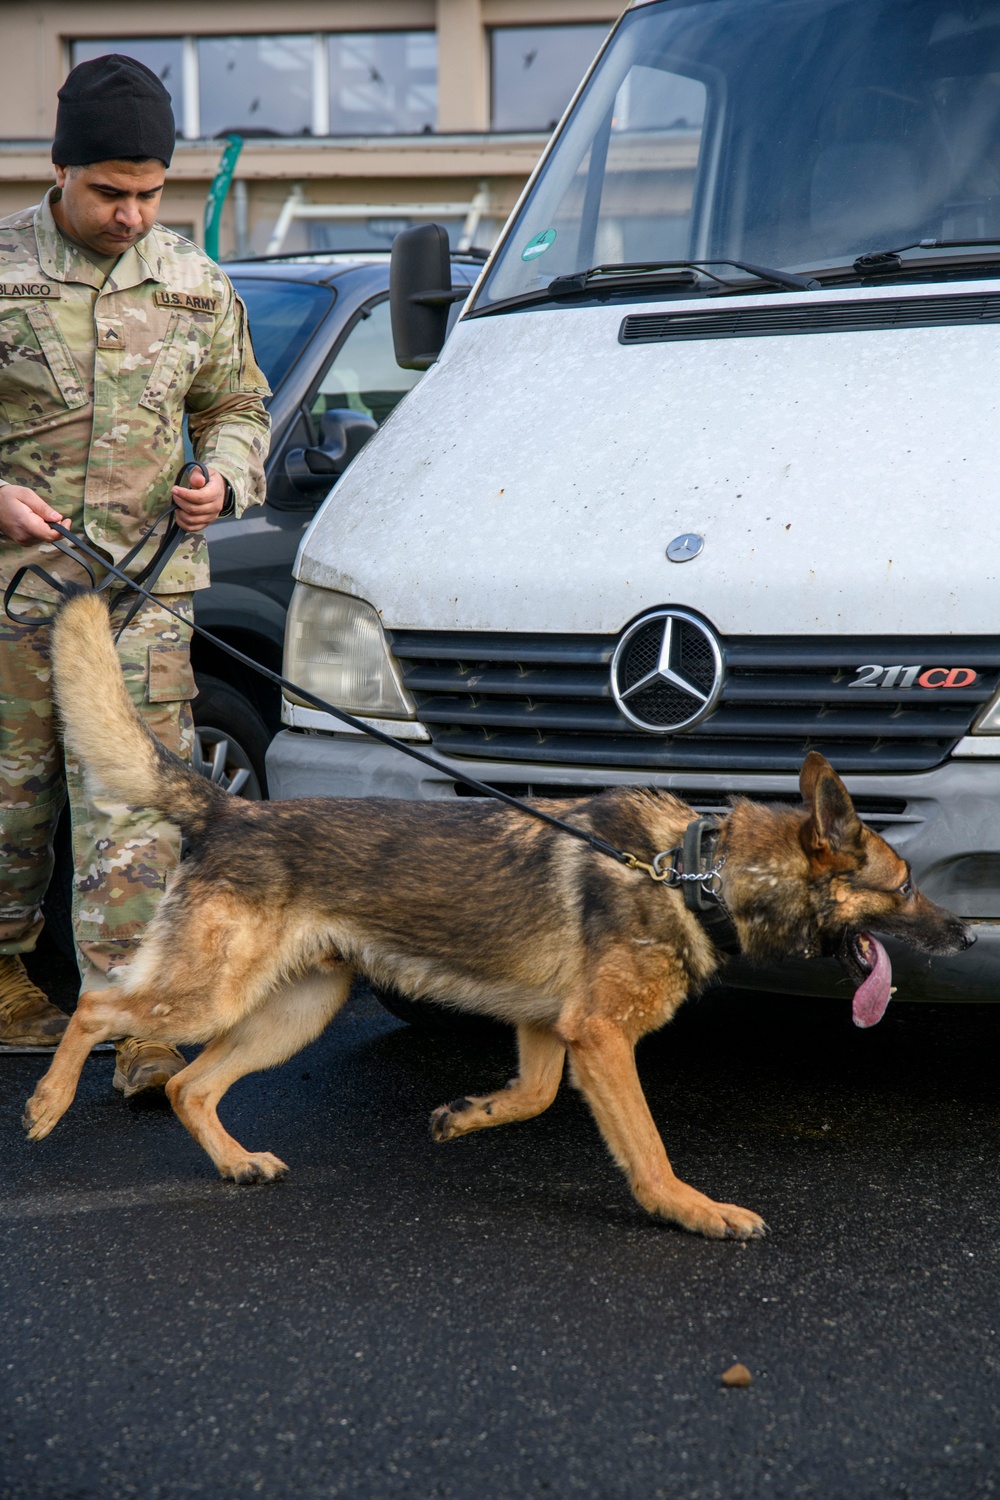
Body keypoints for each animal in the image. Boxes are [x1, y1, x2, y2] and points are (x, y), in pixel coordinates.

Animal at [25, 591, 977, 1236]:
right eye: (902, 887)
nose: (967, 932)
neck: (693, 872)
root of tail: (230, 809)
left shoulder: (552, 1031)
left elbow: (534, 1095)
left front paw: (466, 1114)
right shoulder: (600, 1037)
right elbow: (647, 1146)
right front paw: (689, 1210)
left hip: (295, 1012)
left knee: (192, 1085)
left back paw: (234, 1162)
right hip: (209, 997)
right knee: (100, 1006)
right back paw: (45, 1102)